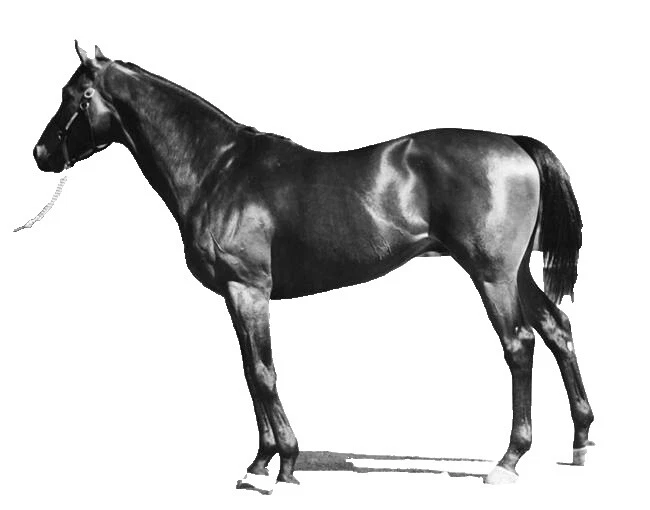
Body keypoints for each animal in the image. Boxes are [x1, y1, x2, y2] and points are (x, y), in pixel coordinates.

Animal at [33, 42, 593, 493]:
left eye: (74, 95)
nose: (40, 153)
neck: (219, 170)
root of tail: (513, 142)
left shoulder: (247, 288)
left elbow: (262, 373)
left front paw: (281, 466)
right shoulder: (238, 296)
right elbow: (248, 371)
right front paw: (259, 463)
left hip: (492, 275)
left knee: (519, 346)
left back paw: (508, 461)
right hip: (515, 274)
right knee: (557, 328)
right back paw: (581, 440)